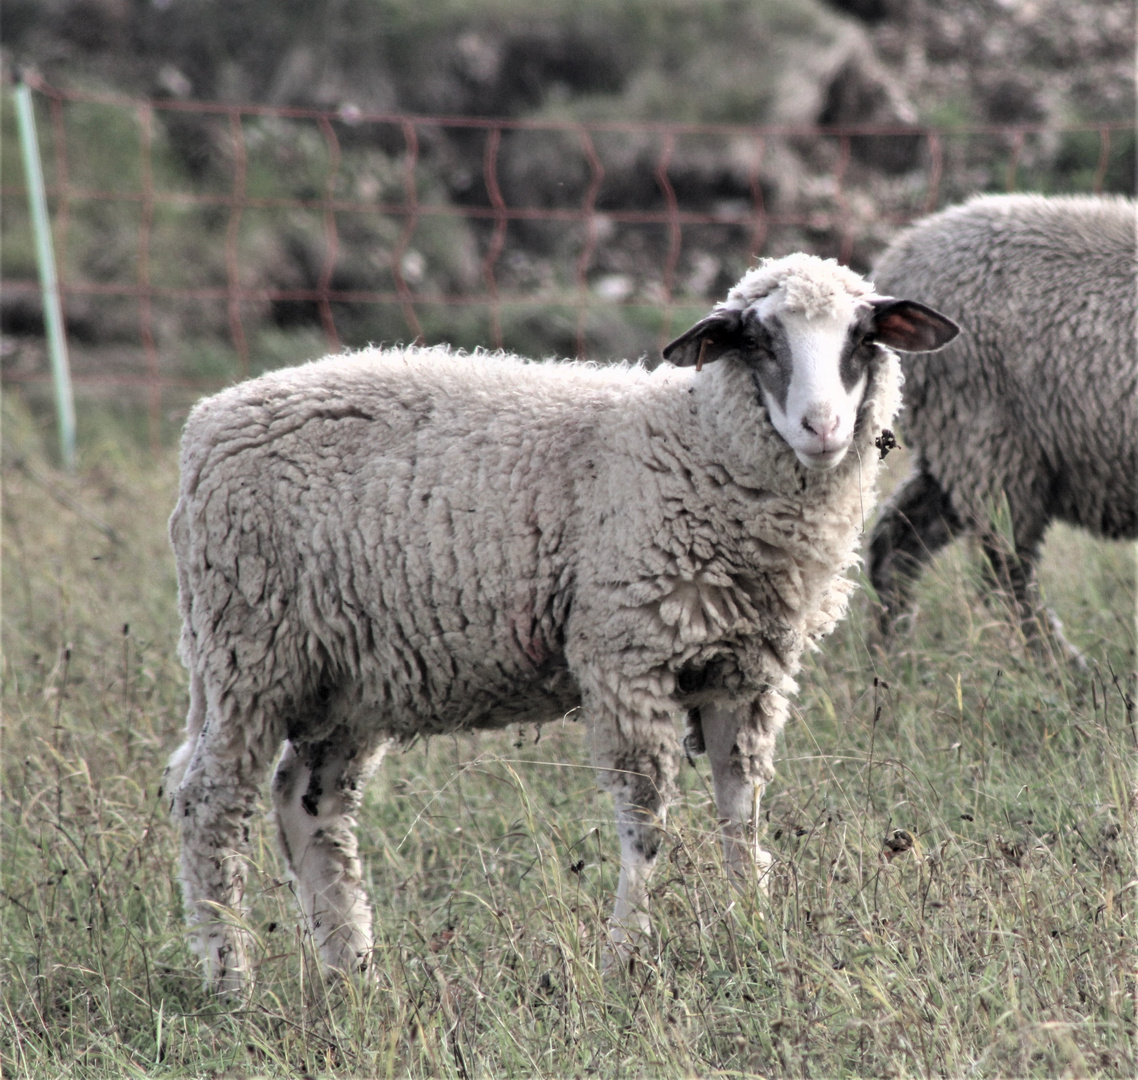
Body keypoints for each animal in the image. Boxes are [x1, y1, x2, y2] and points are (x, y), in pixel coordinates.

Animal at [162, 254, 960, 992]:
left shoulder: (746, 672)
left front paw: (756, 932)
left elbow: (742, 815)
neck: (696, 446)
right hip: (246, 648)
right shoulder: (627, 654)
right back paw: (232, 978)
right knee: (209, 802)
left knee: (309, 805)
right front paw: (626, 955)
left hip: (346, 675)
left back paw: (352, 972)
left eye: (861, 336)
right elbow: (647, 823)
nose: (822, 427)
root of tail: (208, 419)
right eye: (758, 339)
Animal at [864, 198, 1133, 660]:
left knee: (895, 543)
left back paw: (890, 655)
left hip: (958, 448)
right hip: (991, 442)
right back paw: (1062, 666)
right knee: (1008, 571)